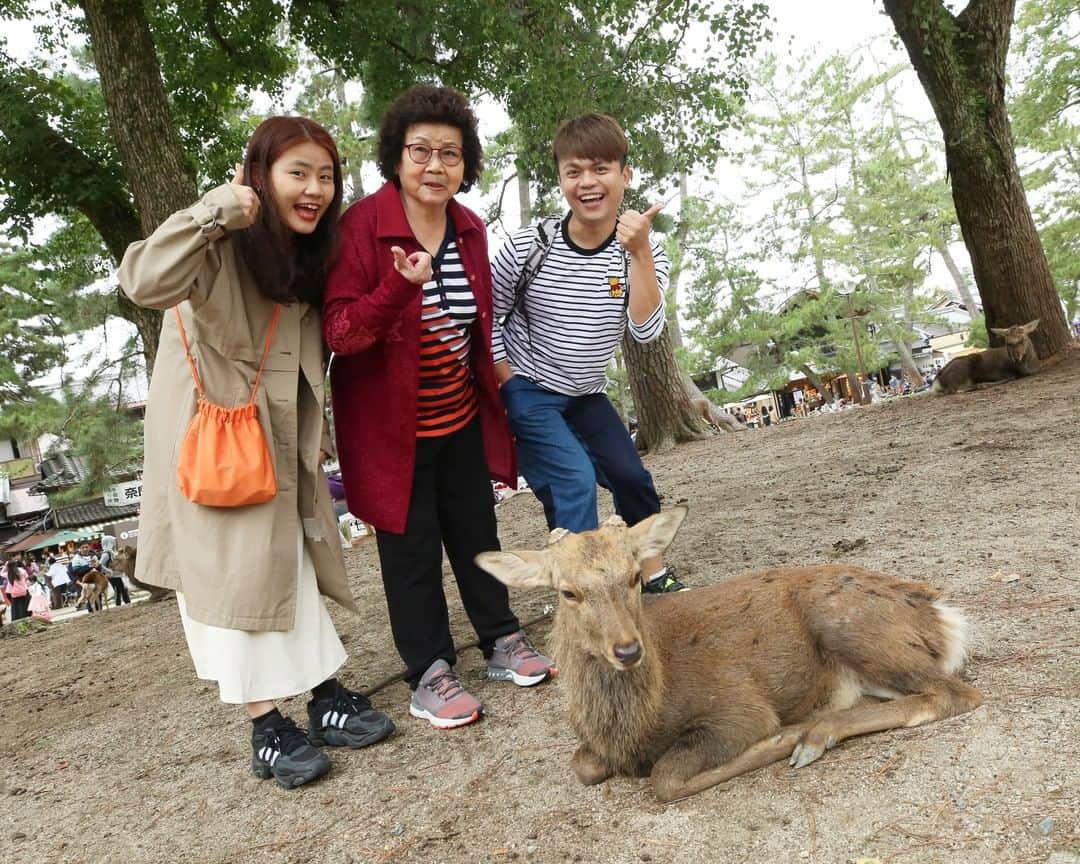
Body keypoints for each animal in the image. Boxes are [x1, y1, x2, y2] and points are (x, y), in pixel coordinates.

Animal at [477, 505, 984, 803]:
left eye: (635, 577)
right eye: (568, 592)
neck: (633, 726)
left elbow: (665, 778)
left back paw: (813, 735)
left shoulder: (737, 708)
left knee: (956, 693)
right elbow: (582, 766)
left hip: (850, 625)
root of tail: (942, 615)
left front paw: (782, 739)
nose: (627, 649)